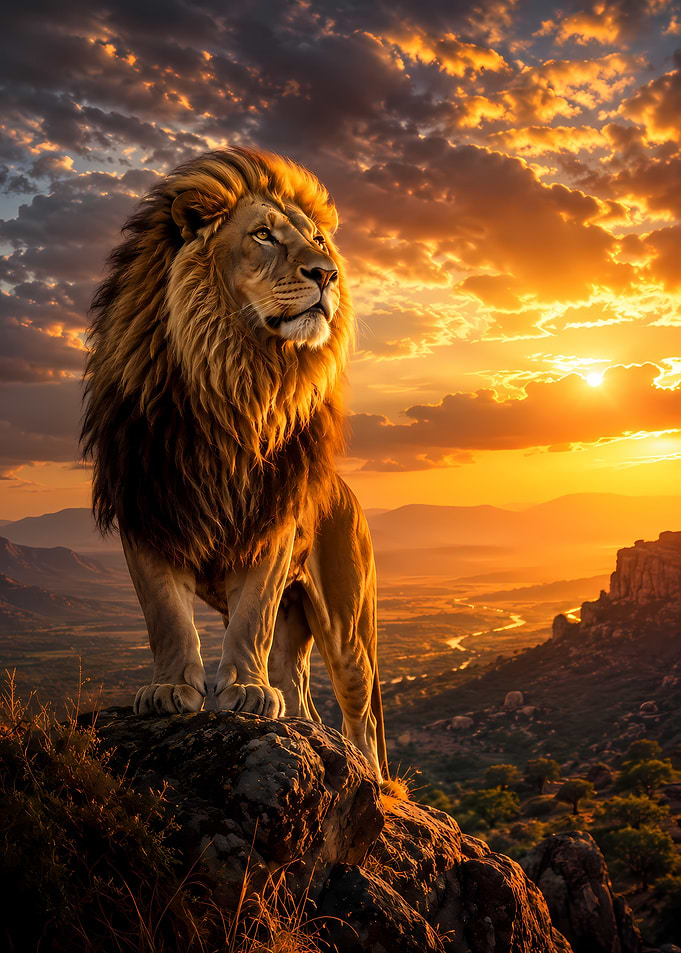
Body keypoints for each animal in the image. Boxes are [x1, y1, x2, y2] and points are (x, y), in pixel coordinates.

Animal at [80, 147, 387, 781]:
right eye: (263, 235)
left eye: (318, 240)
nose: (327, 274)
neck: (234, 382)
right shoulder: (147, 509)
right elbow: (165, 615)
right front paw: (170, 691)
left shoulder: (270, 523)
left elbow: (251, 615)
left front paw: (244, 691)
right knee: (299, 688)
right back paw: (303, 727)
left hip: (348, 624)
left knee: (362, 716)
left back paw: (369, 774)